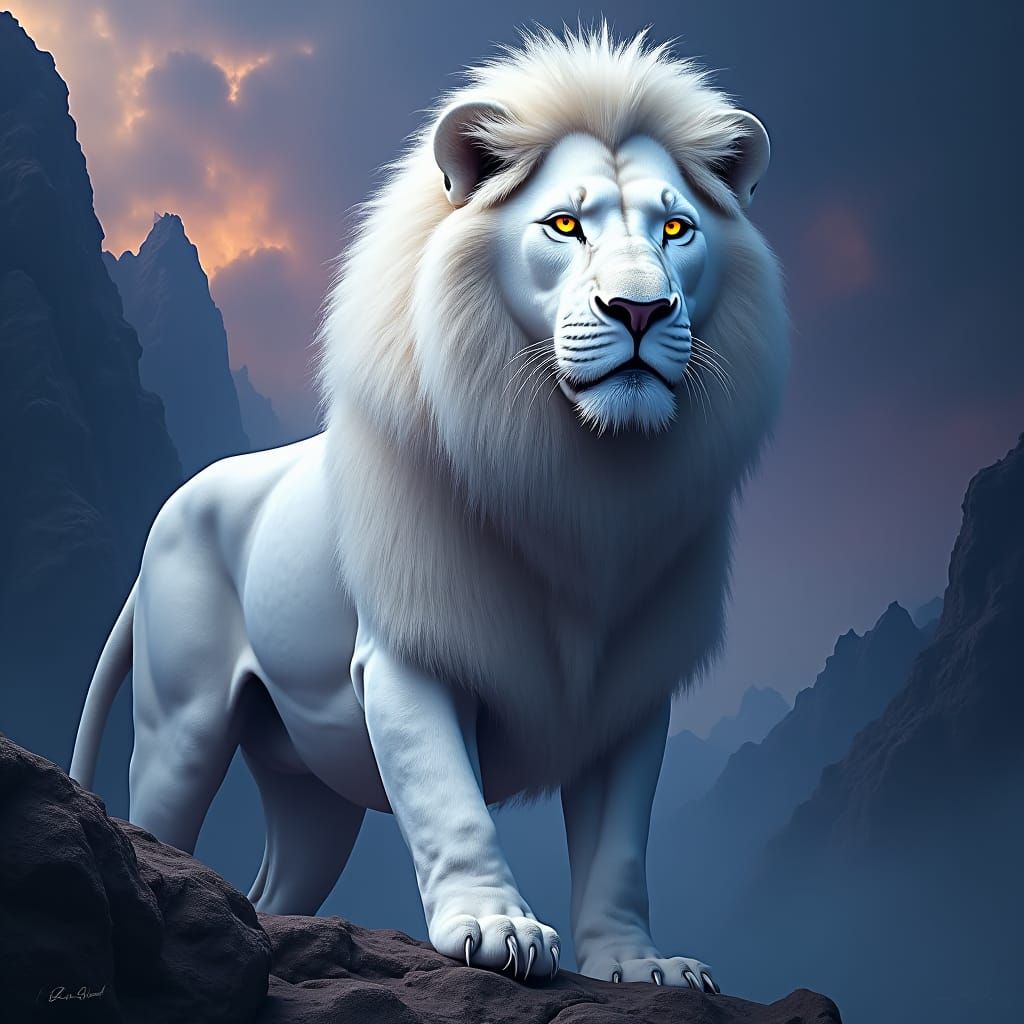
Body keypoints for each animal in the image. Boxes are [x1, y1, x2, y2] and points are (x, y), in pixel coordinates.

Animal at [71, 26, 787, 990]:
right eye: (565, 224)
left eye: (677, 227)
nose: (639, 309)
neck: (584, 481)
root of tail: (178, 501)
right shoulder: (409, 657)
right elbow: (450, 798)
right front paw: (495, 927)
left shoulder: (634, 694)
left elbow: (619, 848)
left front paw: (638, 964)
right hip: (180, 726)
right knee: (160, 822)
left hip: (313, 786)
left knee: (274, 887)